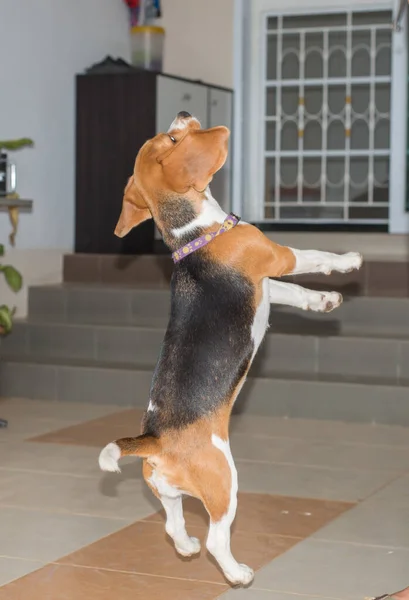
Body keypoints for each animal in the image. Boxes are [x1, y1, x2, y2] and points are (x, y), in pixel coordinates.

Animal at [99, 112, 364, 584]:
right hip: (225, 483)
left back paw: (185, 547)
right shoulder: (278, 256)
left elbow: (297, 294)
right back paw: (237, 573)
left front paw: (324, 301)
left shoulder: (267, 285)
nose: (182, 115)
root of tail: (155, 441)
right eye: (173, 139)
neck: (195, 232)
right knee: (216, 540)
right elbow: (316, 255)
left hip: (165, 490)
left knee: (172, 524)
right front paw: (348, 260)